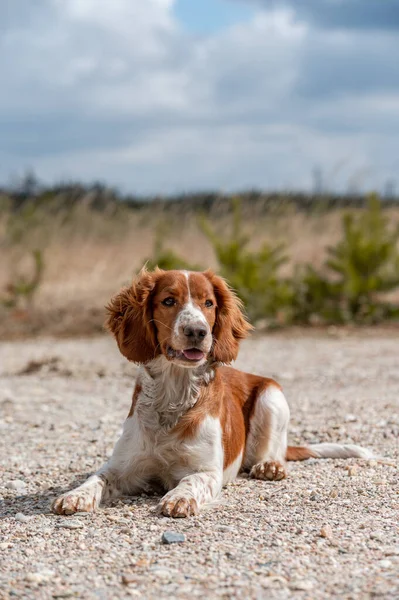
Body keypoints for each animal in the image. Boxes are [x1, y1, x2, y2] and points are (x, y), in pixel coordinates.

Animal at [51, 268, 374, 516]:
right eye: (168, 300)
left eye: (208, 303)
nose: (197, 331)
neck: (173, 396)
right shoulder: (123, 466)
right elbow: (97, 478)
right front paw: (75, 495)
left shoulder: (207, 470)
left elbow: (190, 482)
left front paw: (179, 498)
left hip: (272, 396)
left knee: (273, 451)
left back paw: (269, 466)